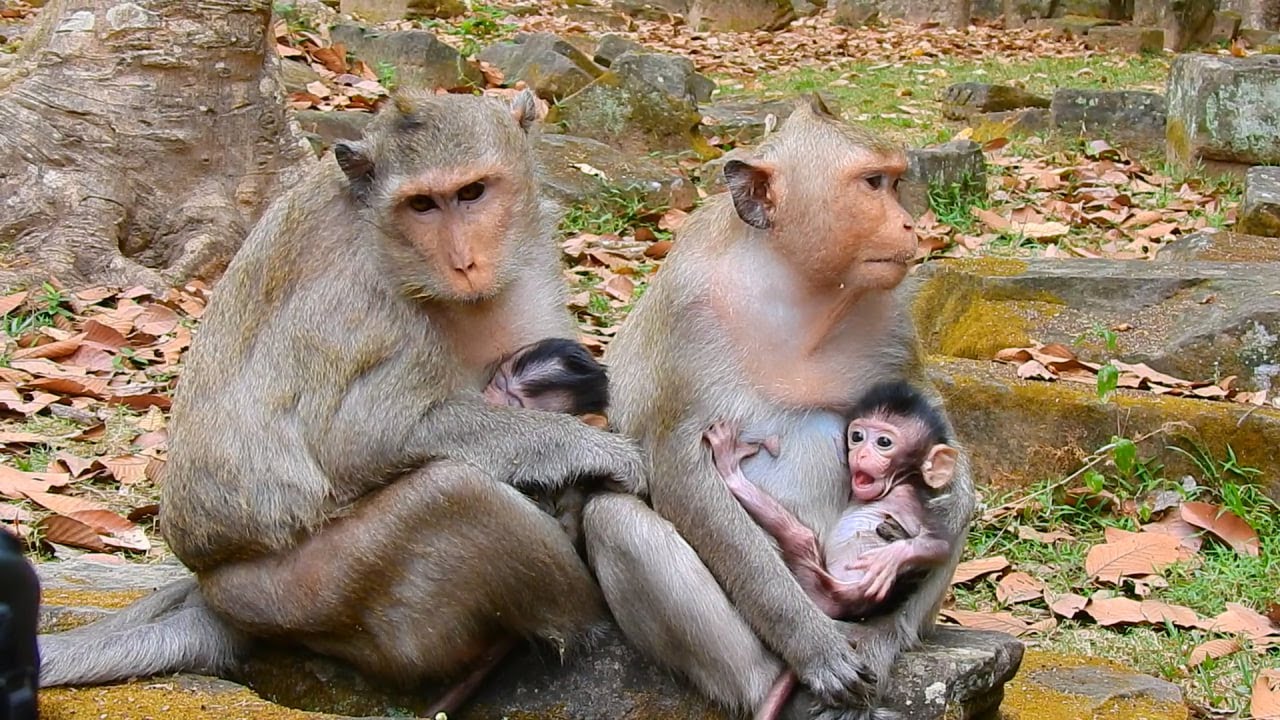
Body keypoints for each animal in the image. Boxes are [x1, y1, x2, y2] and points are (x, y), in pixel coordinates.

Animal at [37, 89, 645, 719]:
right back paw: (575, 619)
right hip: (304, 595)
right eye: (422, 205)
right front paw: (592, 449)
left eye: (473, 192)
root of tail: (213, 589)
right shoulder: (359, 302)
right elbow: (360, 439)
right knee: (454, 492)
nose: (464, 262)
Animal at [703, 380, 961, 720]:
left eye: (884, 442)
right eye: (857, 436)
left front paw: (888, 561)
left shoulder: (915, 504)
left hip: (821, 583)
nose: (861, 452)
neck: (893, 487)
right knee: (799, 537)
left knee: (800, 540)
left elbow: (939, 544)